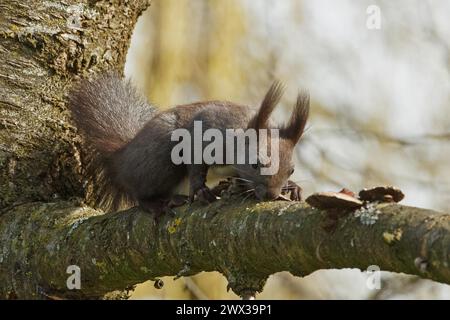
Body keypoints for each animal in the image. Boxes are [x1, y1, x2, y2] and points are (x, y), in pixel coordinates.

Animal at [69, 74, 310, 216]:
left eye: (292, 170)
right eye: (254, 164)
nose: (271, 194)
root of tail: (122, 158)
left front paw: (292, 187)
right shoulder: (203, 132)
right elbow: (195, 163)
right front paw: (200, 190)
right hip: (159, 159)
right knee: (140, 192)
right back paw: (157, 203)